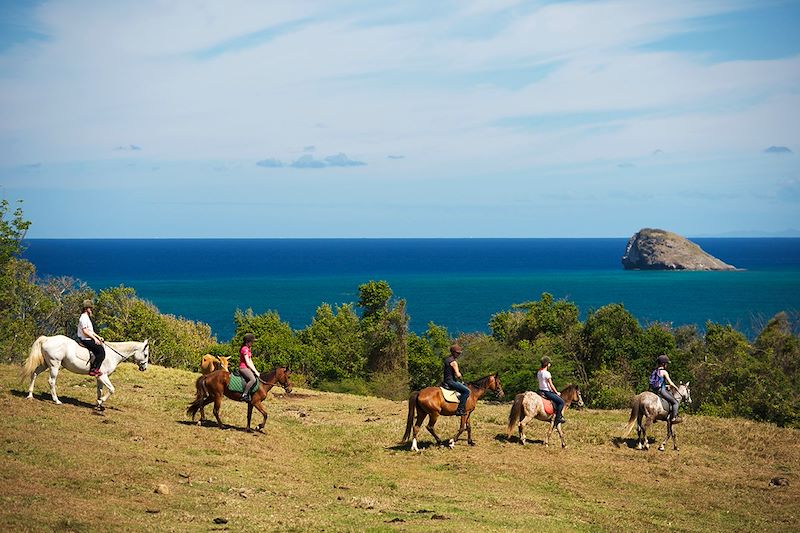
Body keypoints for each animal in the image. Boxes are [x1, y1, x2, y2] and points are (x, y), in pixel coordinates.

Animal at [20, 334, 150, 410]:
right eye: (145, 354)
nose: (144, 368)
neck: (113, 354)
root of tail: (48, 338)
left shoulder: (99, 378)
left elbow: (99, 390)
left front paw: (98, 404)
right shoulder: (103, 376)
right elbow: (112, 390)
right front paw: (100, 401)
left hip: (45, 364)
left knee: (34, 373)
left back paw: (30, 395)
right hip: (54, 364)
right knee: (51, 381)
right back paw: (57, 401)